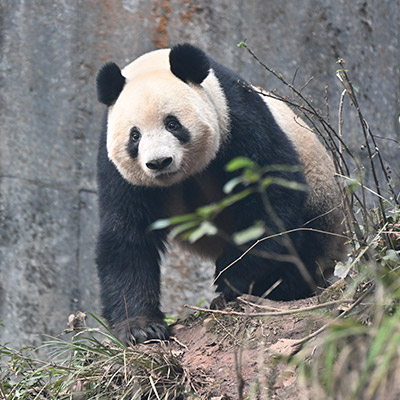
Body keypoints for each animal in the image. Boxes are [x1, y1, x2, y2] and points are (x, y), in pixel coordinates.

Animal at [94, 43, 344, 344]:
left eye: (172, 124)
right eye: (135, 136)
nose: (159, 162)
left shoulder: (236, 117)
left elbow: (271, 191)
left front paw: (230, 277)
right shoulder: (116, 168)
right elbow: (126, 234)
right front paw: (142, 327)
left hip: (321, 194)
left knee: (303, 241)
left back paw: (280, 287)